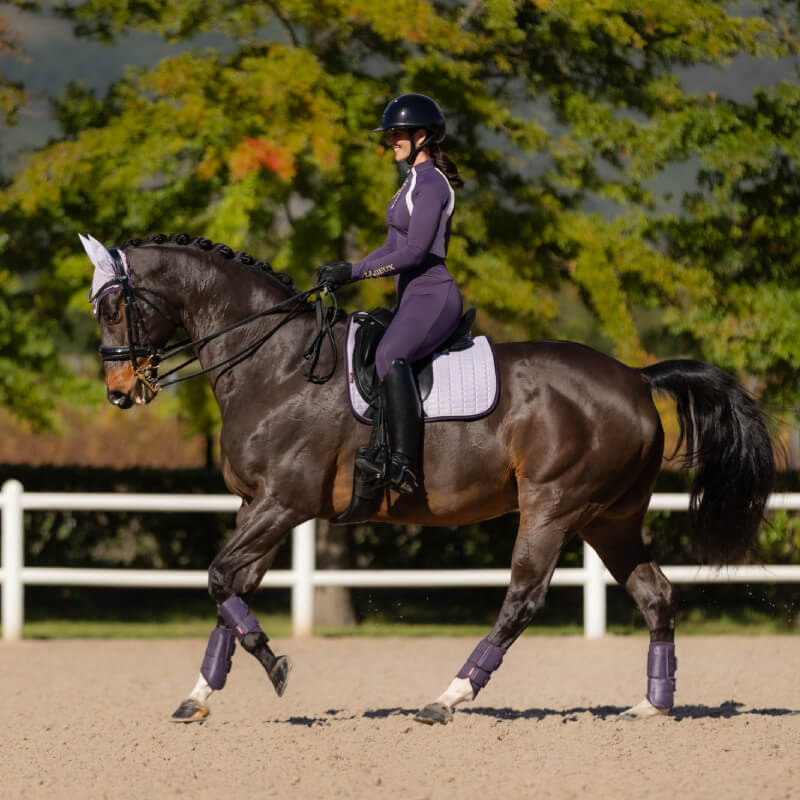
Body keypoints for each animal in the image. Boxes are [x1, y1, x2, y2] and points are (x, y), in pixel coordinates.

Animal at [84, 232, 775, 724]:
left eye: (117, 306)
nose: (119, 392)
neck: (274, 364)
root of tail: (635, 377)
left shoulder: (282, 503)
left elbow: (219, 579)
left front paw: (276, 667)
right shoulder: (256, 505)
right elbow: (233, 590)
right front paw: (199, 694)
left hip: (553, 507)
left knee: (523, 599)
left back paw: (448, 698)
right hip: (611, 519)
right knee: (656, 594)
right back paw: (651, 705)